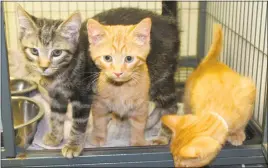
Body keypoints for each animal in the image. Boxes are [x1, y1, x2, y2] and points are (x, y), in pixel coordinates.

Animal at [16, 4, 91, 158]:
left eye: (57, 53)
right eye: (34, 51)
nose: (44, 67)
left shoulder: (83, 96)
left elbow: (78, 122)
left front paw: (73, 145)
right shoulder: (57, 95)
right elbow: (56, 115)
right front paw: (55, 136)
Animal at [87, 17, 152, 147]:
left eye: (129, 58)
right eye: (107, 58)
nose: (118, 73)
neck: (121, 87)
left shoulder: (142, 104)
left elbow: (139, 124)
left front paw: (138, 141)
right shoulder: (99, 102)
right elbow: (99, 121)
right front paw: (98, 137)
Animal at [161, 24, 255, 168]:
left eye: (183, 164)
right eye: (173, 158)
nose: (176, 166)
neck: (221, 108)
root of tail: (208, 62)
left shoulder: (249, 95)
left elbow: (243, 123)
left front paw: (237, 134)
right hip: (188, 95)